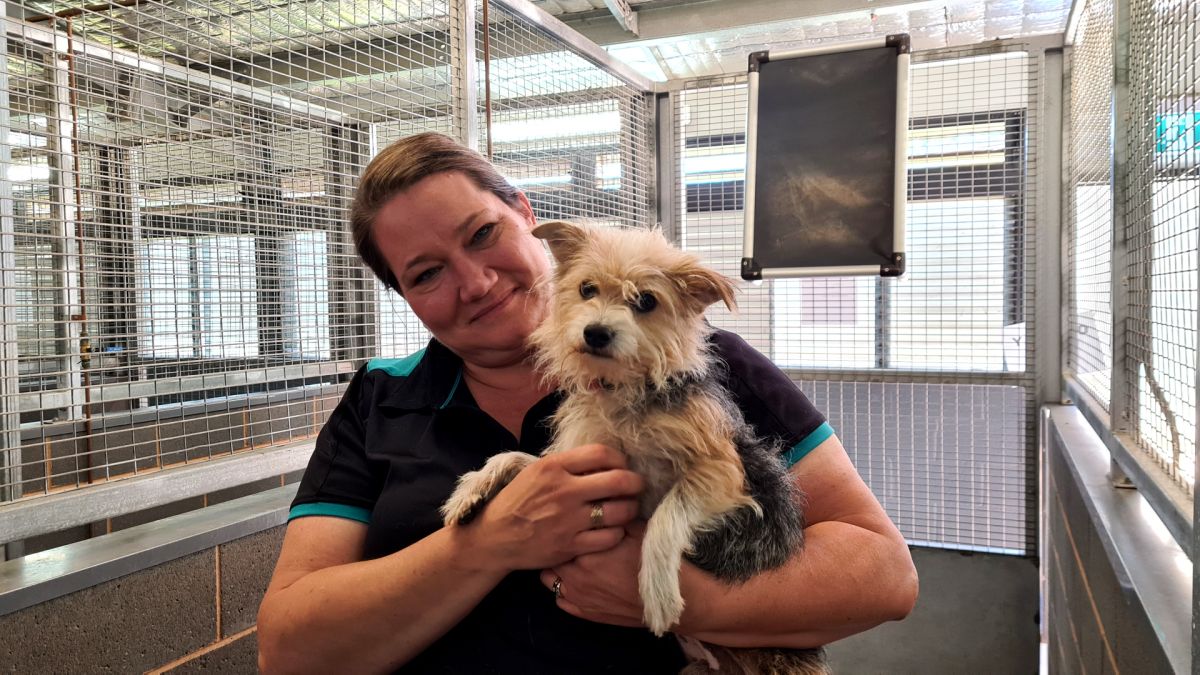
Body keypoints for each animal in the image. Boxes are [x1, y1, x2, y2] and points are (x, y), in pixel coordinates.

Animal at [446, 222, 830, 672]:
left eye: (646, 301)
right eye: (587, 289)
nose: (596, 332)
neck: (624, 391)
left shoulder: (723, 474)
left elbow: (665, 518)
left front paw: (658, 593)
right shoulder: (577, 458)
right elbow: (517, 458)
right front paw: (469, 491)